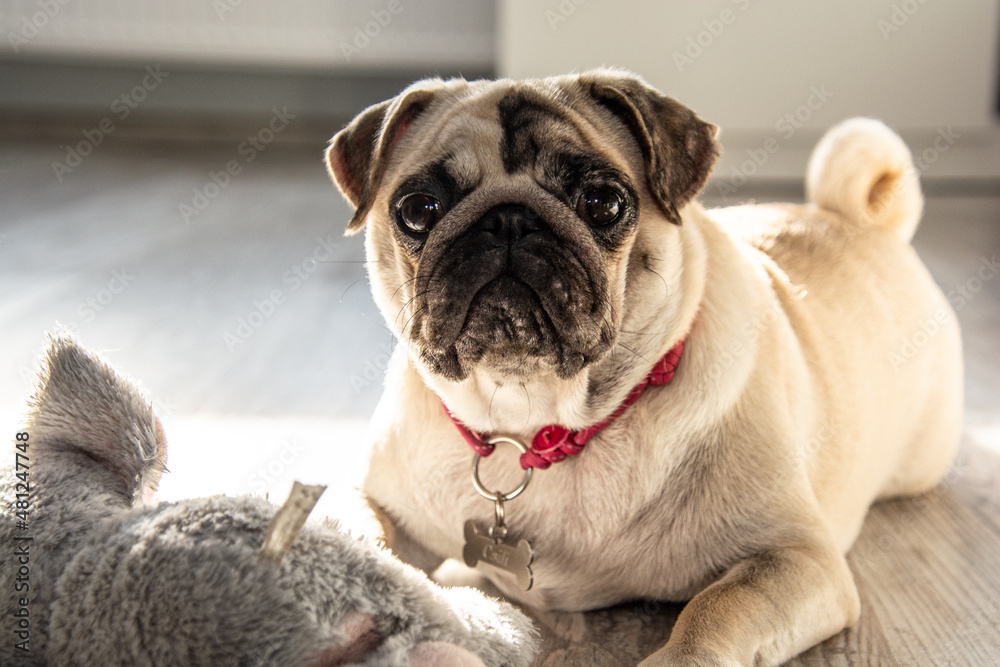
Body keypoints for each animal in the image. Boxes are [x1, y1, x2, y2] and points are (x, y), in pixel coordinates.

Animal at [324, 70, 964, 664]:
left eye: (603, 203)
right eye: (418, 209)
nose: (508, 219)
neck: (532, 424)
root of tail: (855, 220)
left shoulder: (795, 559)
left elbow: (715, 607)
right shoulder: (380, 502)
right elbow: (358, 537)